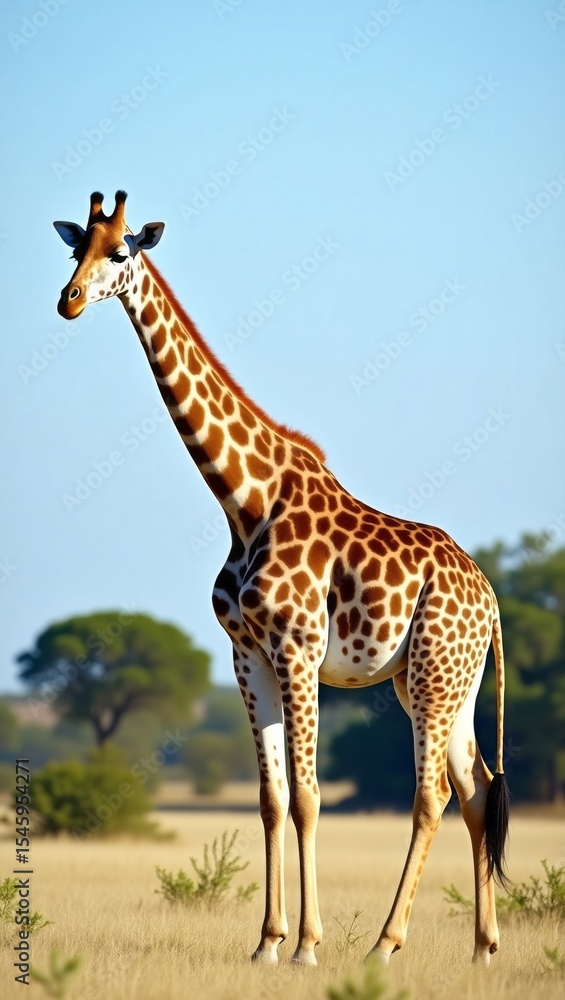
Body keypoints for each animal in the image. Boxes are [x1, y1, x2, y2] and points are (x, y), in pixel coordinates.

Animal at [54, 191, 510, 968]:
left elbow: (308, 796)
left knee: (432, 797)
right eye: (73, 247)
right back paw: (481, 951)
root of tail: (490, 598)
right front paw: (266, 943)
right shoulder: (248, 654)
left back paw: (385, 945)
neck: (244, 500)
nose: (70, 301)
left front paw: (306, 947)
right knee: (475, 789)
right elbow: (269, 799)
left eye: (120, 251)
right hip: (448, 679)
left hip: (431, 673)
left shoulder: (297, 650)